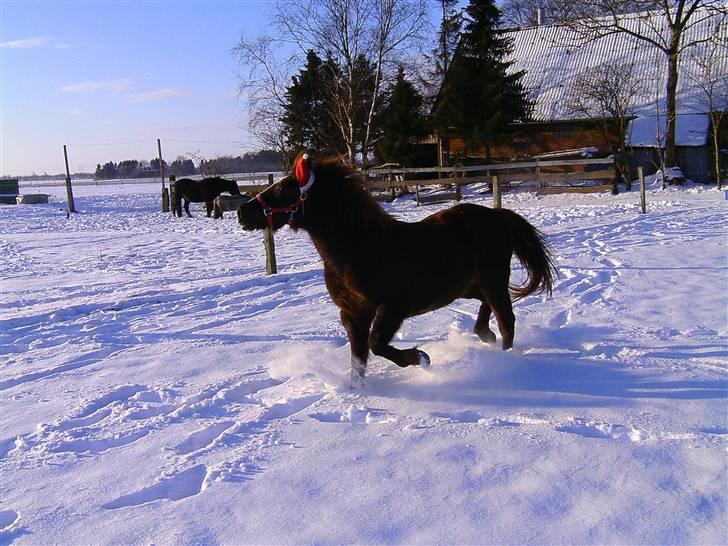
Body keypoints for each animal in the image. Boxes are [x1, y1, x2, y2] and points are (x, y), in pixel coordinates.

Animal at [239, 153, 556, 382]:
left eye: (283, 188)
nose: (243, 212)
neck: (358, 247)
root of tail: (499, 215)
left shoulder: (394, 307)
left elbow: (377, 344)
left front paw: (420, 358)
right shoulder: (353, 313)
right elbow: (358, 359)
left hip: (492, 279)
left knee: (506, 320)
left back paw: (504, 358)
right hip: (468, 286)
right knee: (488, 309)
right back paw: (483, 335)